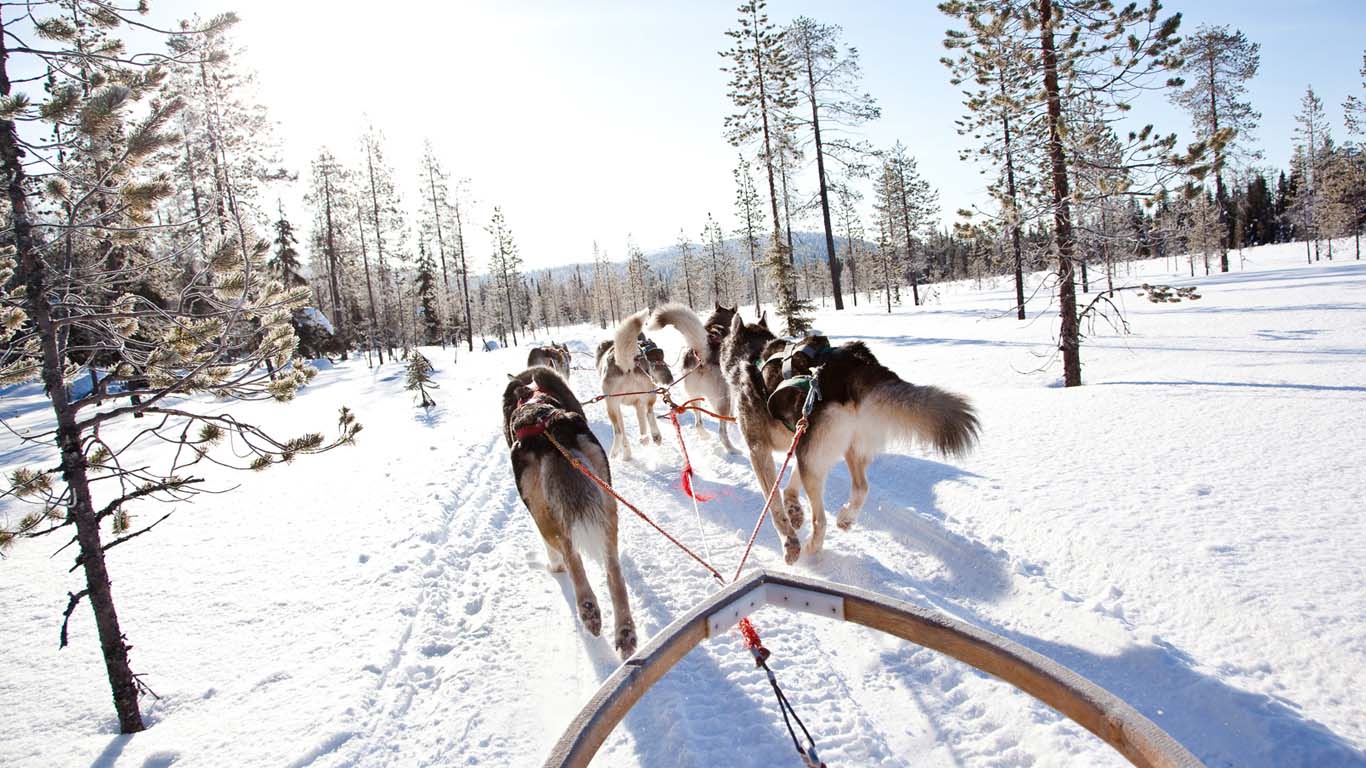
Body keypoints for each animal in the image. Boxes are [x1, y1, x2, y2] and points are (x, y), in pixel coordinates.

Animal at [502, 363, 633, 650]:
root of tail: (547, 426)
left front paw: (555, 566)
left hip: (543, 514)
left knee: (568, 551)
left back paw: (587, 608)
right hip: (607, 499)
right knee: (613, 570)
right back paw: (625, 632)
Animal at [598, 307, 677, 456]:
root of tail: (627, 365)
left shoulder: (628, 405)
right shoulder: (636, 403)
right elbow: (640, 422)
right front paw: (643, 439)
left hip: (612, 404)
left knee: (619, 430)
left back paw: (616, 451)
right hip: (644, 394)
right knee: (647, 413)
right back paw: (650, 437)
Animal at [647, 302, 743, 450]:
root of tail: (701, 356)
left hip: (694, 396)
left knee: (698, 422)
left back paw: (704, 435)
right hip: (722, 401)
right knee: (722, 431)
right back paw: (732, 449)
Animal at [721, 311, 978, 563]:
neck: (752, 354)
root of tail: (858, 364)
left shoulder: (759, 451)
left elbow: (774, 506)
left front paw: (789, 540)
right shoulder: (799, 440)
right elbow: (791, 485)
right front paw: (793, 507)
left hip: (813, 459)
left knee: (821, 520)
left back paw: (812, 546)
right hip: (842, 449)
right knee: (861, 488)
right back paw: (845, 517)